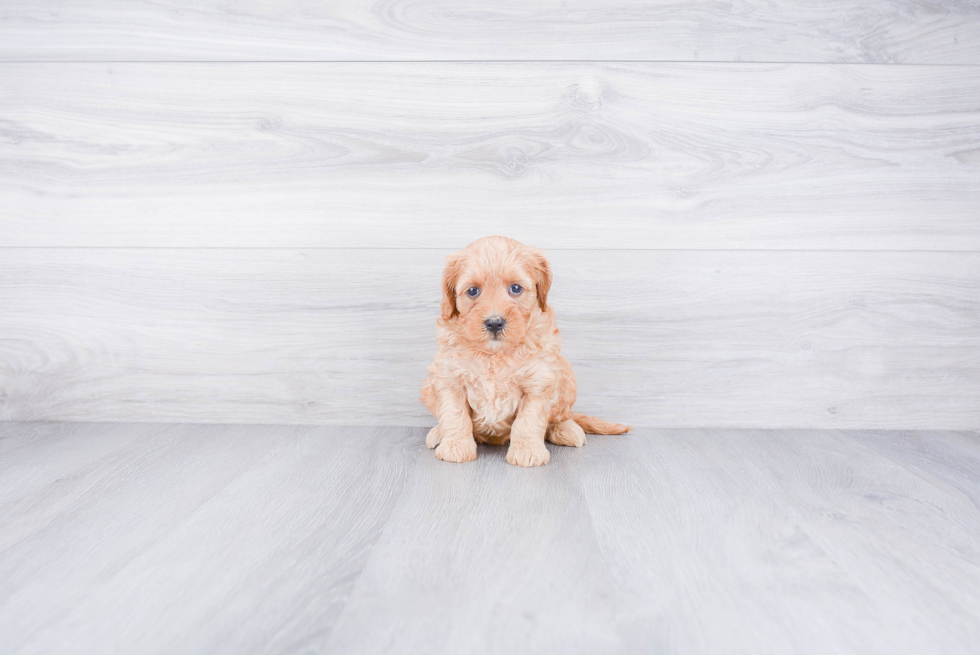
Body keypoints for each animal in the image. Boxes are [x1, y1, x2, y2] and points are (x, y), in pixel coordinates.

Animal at [420, 236, 628, 466]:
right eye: (473, 291)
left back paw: (566, 429)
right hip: (428, 388)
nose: (494, 323)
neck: (496, 354)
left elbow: (528, 421)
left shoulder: (539, 381)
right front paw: (455, 447)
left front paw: (527, 451)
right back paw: (438, 433)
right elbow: (454, 415)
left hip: (566, 378)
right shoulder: (448, 378)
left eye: (516, 288)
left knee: (562, 416)